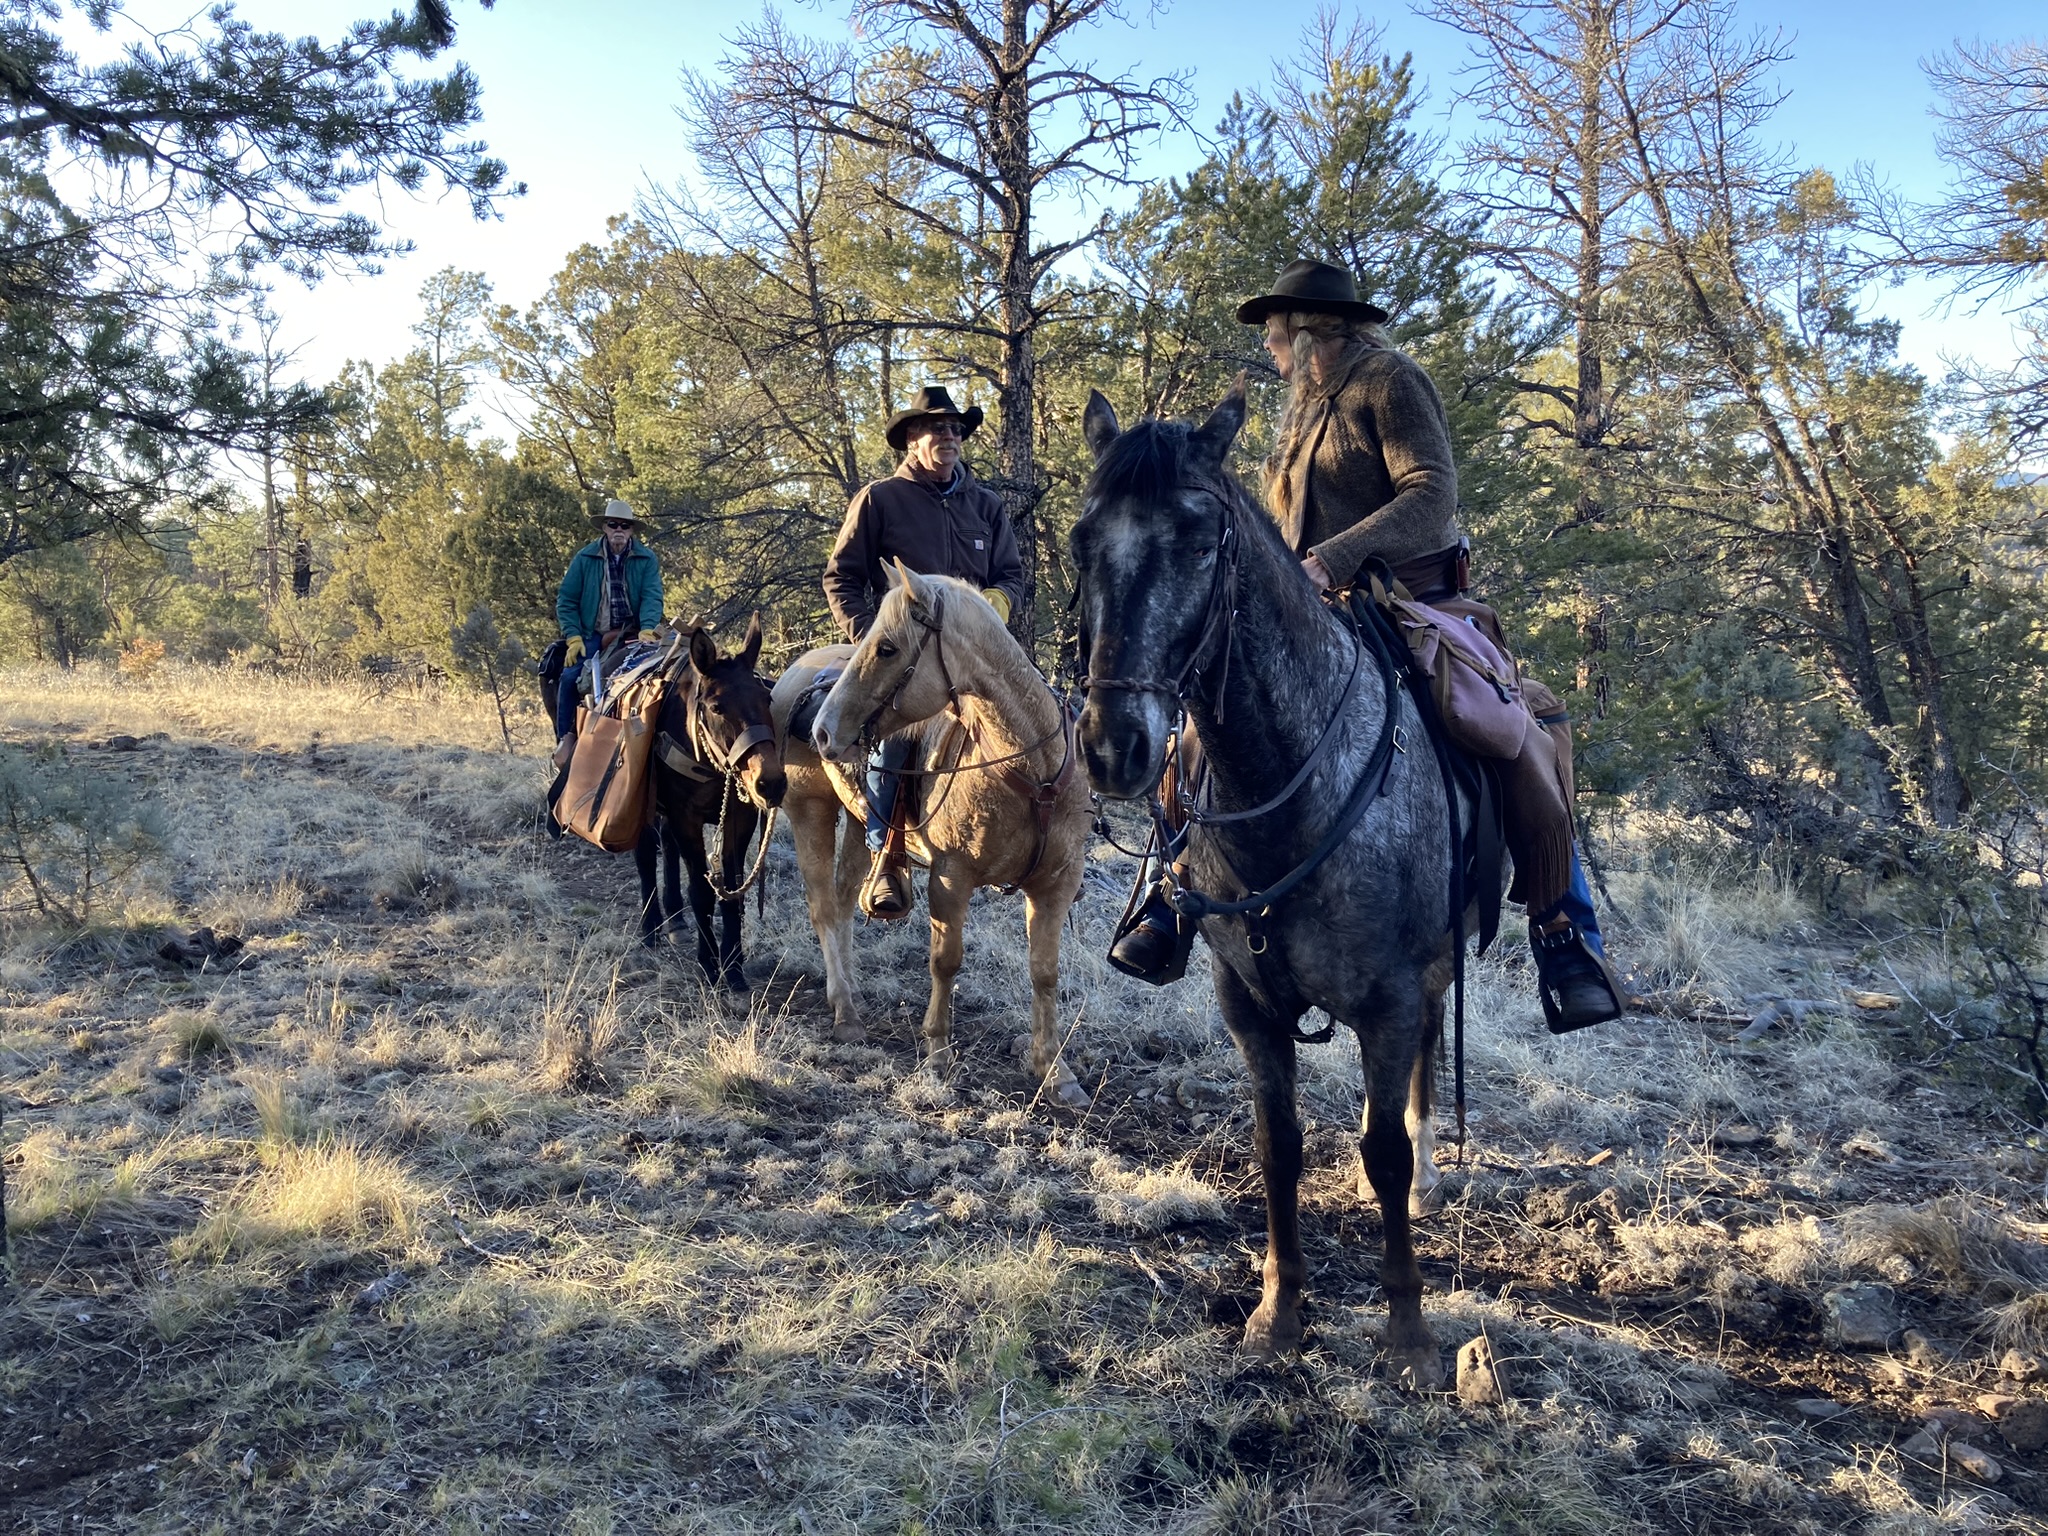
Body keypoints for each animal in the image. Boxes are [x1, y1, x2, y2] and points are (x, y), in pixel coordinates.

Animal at [770, 565, 1089, 1105]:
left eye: (887, 648)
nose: (824, 731)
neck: (1032, 774)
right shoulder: (951, 877)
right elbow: (946, 961)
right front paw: (938, 1054)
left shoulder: (1056, 885)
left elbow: (1045, 973)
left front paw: (1054, 1069)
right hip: (809, 811)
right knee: (823, 909)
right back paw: (844, 1010)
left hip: (858, 824)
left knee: (844, 900)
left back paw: (852, 996)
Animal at [1073, 382, 1458, 1384]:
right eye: (1085, 540)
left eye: (1201, 541)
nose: (1114, 747)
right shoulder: (1245, 1000)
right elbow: (1277, 1147)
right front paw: (1278, 1312)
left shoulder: (1390, 997)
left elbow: (1382, 1150)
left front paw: (1409, 1330)